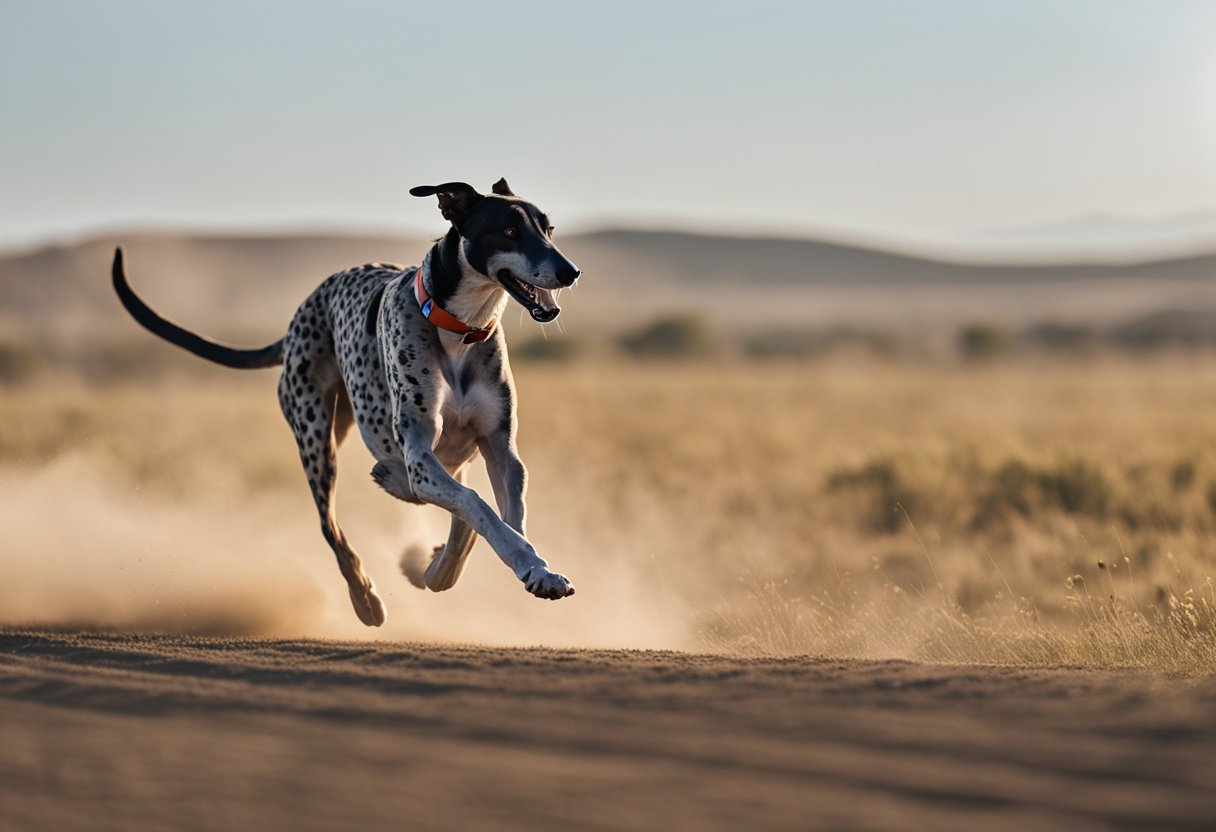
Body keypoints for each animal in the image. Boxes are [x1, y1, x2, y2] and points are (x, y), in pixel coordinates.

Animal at [114, 180, 583, 622]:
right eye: (509, 230)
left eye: (548, 229)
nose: (571, 271)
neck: (460, 327)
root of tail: (295, 322)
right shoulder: (419, 450)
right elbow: (475, 506)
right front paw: (508, 561)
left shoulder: (501, 449)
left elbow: (502, 517)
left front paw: (533, 569)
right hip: (317, 440)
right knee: (331, 526)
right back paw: (364, 595)